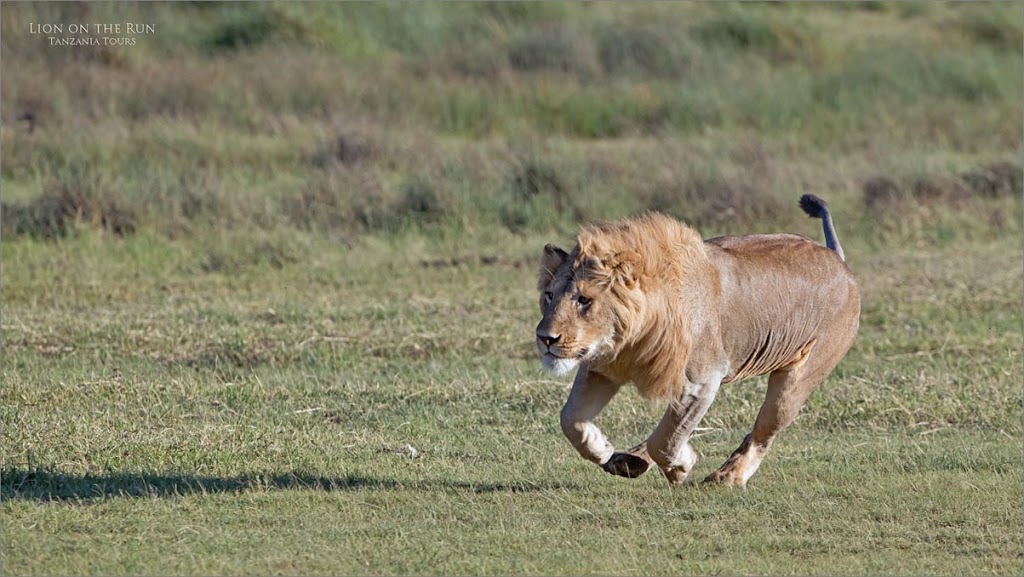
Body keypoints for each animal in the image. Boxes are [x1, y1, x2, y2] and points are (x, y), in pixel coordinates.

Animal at [540, 195, 860, 487]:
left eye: (584, 300)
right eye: (549, 296)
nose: (545, 338)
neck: (631, 339)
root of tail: (837, 259)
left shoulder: (701, 380)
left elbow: (665, 440)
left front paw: (680, 467)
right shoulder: (601, 366)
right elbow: (571, 420)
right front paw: (606, 450)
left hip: (796, 381)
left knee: (762, 431)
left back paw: (727, 477)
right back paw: (631, 458)